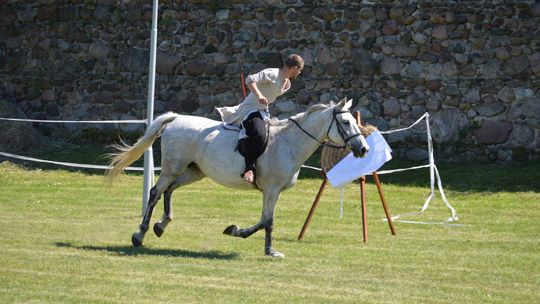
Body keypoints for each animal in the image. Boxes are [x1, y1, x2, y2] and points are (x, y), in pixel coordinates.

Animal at [106, 98, 370, 258]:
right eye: (345, 122)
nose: (363, 149)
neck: (288, 143)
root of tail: (177, 118)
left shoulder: (272, 192)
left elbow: (263, 221)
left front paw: (236, 231)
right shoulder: (271, 190)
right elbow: (267, 222)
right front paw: (266, 249)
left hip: (193, 171)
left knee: (169, 191)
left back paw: (161, 226)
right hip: (173, 167)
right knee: (155, 193)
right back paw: (139, 235)